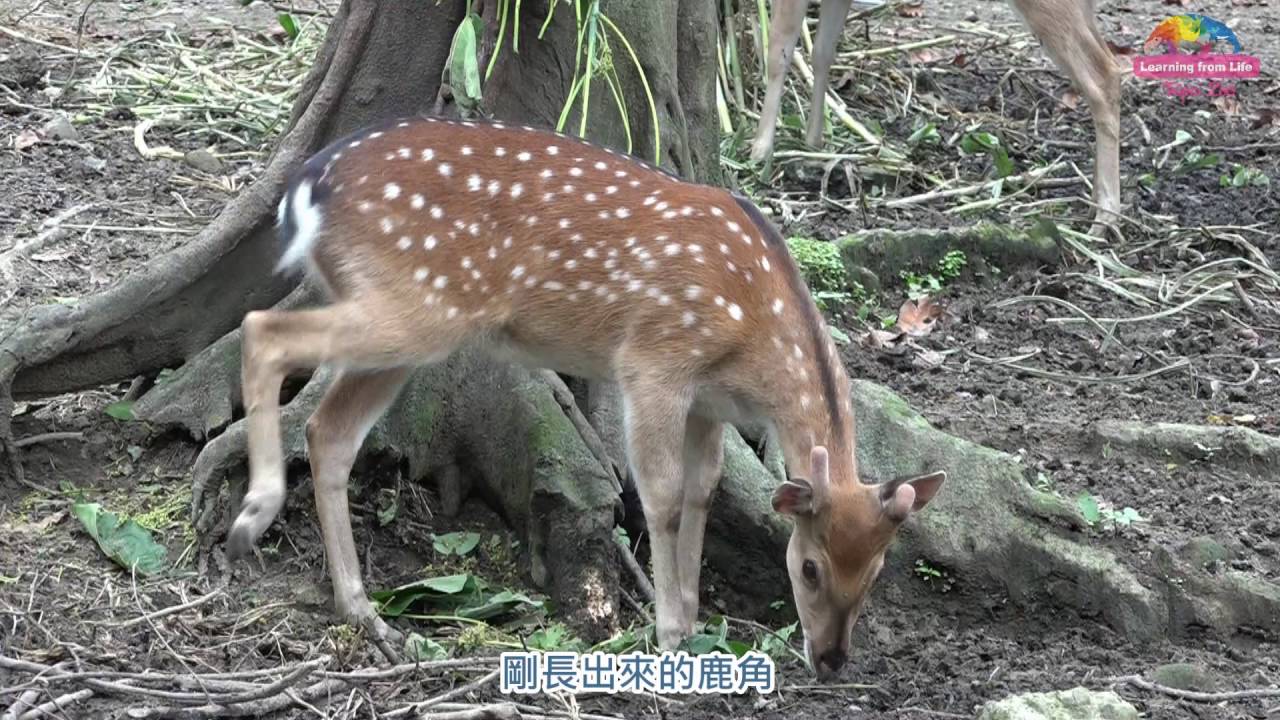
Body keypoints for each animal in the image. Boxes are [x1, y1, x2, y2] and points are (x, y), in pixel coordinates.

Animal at [229, 115, 947, 678]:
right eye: (809, 567)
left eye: (876, 572)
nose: (830, 660)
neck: (754, 340)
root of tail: (305, 188)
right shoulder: (653, 361)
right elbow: (658, 497)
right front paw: (669, 633)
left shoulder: (708, 402)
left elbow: (703, 491)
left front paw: (693, 617)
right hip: (414, 307)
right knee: (262, 330)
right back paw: (252, 517)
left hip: (406, 326)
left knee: (328, 431)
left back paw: (363, 610)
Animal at [749, 0, 1122, 234]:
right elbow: (822, 52)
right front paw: (812, 141)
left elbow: (778, 48)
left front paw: (758, 151)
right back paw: (1093, 203)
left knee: (1103, 73)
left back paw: (1105, 217)